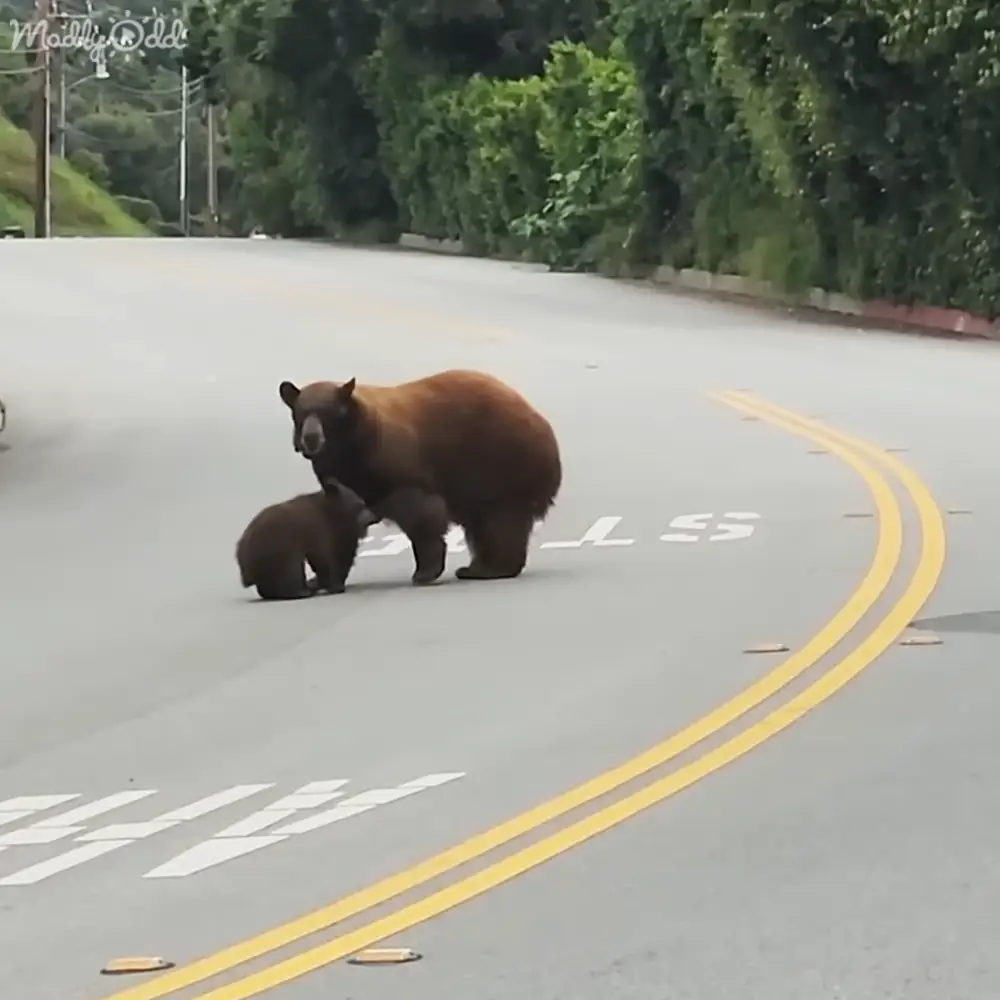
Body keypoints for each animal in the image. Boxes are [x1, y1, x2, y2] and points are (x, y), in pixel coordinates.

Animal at [236, 477, 378, 600]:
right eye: (360, 504)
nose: (374, 516)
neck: (331, 511)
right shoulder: (318, 530)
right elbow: (323, 557)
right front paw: (334, 585)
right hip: (278, 548)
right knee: (292, 568)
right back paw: (302, 591)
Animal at [277, 368, 562, 584]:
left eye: (331, 413)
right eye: (300, 412)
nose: (311, 438)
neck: (352, 446)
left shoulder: (395, 461)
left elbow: (420, 510)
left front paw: (425, 570)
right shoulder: (339, 475)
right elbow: (338, 519)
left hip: (501, 465)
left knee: (500, 519)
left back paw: (490, 568)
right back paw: (478, 567)